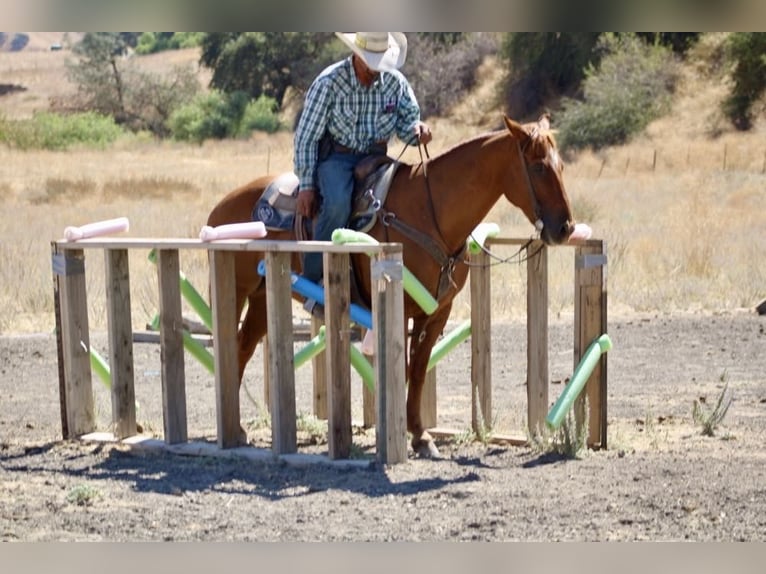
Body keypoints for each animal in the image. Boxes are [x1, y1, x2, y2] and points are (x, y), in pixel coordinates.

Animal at [206, 114, 575, 458]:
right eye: (538, 167)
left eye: (561, 165)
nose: (565, 228)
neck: (430, 211)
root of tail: (221, 206)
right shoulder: (400, 306)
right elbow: (400, 368)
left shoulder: (437, 312)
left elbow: (419, 370)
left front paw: (420, 436)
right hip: (236, 291)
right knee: (230, 348)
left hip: (261, 300)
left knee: (242, 348)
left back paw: (237, 429)